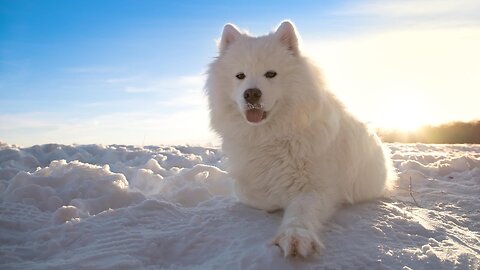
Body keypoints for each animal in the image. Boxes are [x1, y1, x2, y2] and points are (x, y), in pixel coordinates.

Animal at [204, 21, 396, 258]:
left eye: (271, 74)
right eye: (240, 76)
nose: (251, 94)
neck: (270, 137)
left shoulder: (315, 188)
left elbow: (300, 212)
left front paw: (295, 237)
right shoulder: (247, 181)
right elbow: (249, 192)